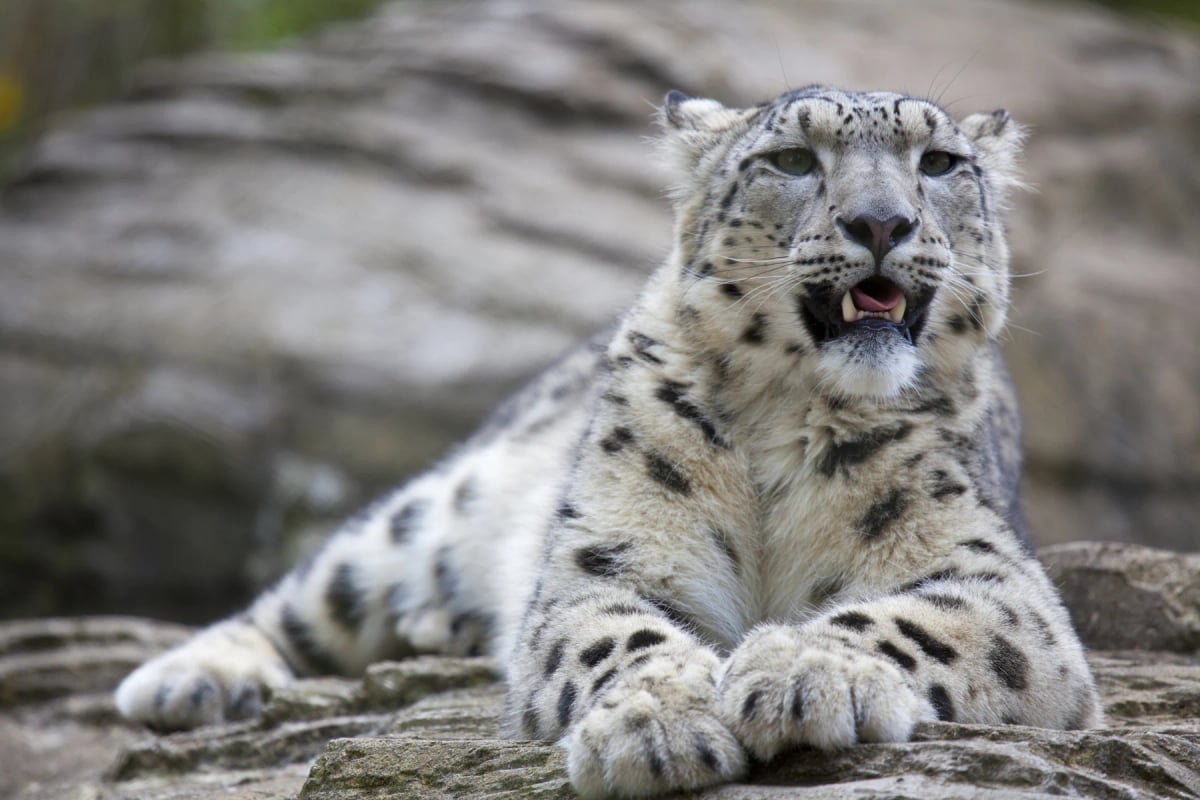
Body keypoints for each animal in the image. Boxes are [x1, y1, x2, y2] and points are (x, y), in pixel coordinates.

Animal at [115, 85, 1102, 798]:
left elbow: (917, 618)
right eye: (791, 158)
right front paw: (656, 727)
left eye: (939, 163)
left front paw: (803, 669)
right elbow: (612, 635)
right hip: (429, 513)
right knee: (312, 593)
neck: (785, 420)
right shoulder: (602, 555)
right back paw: (184, 680)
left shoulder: (992, 573)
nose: (881, 224)